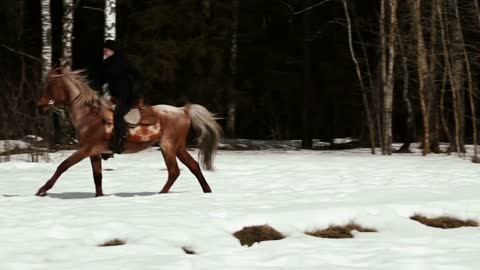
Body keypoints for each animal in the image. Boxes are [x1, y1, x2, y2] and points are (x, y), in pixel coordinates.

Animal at [36, 67, 223, 198]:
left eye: (50, 86)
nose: (40, 106)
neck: (89, 116)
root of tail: (182, 110)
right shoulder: (94, 153)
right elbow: (97, 177)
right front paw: (99, 197)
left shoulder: (85, 150)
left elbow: (63, 166)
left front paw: (42, 190)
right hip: (178, 147)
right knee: (193, 166)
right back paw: (207, 191)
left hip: (168, 146)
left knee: (174, 171)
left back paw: (161, 194)